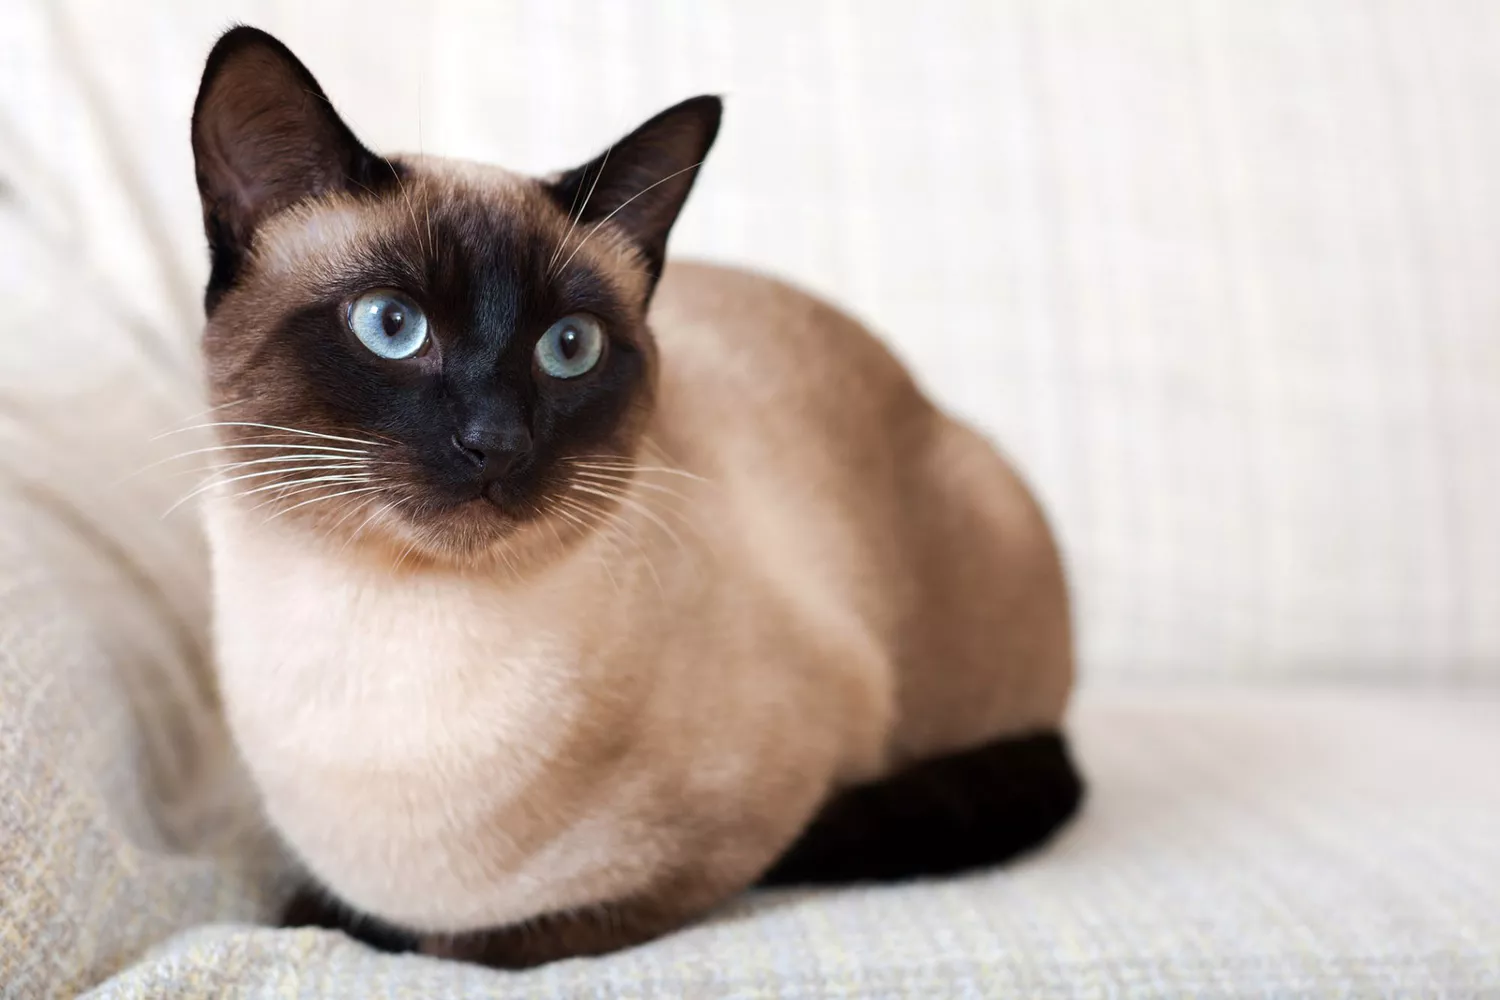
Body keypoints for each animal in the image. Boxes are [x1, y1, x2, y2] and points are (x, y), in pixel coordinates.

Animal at [193, 27, 1080, 971]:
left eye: (569, 347)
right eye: (391, 326)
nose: (495, 441)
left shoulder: (754, 815)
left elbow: (490, 938)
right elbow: (307, 907)